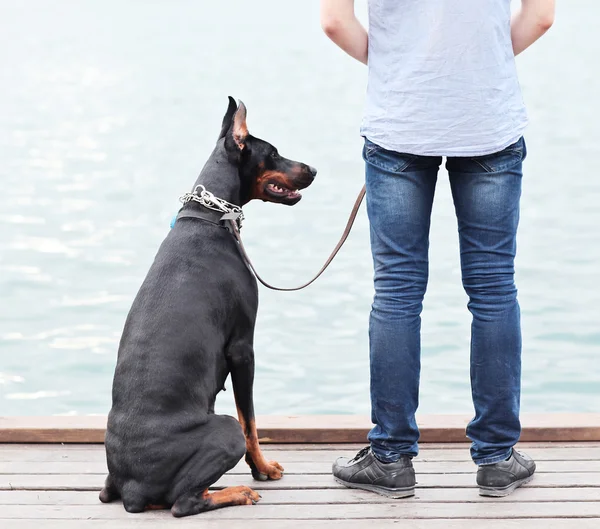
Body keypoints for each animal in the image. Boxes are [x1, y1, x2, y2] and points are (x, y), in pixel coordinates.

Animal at [102, 98, 318, 516]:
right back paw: (237, 492)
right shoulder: (243, 347)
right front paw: (263, 469)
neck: (211, 216)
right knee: (183, 501)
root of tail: (132, 487)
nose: (313, 169)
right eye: (273, 153)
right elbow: (251, 423)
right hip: (222, 427)